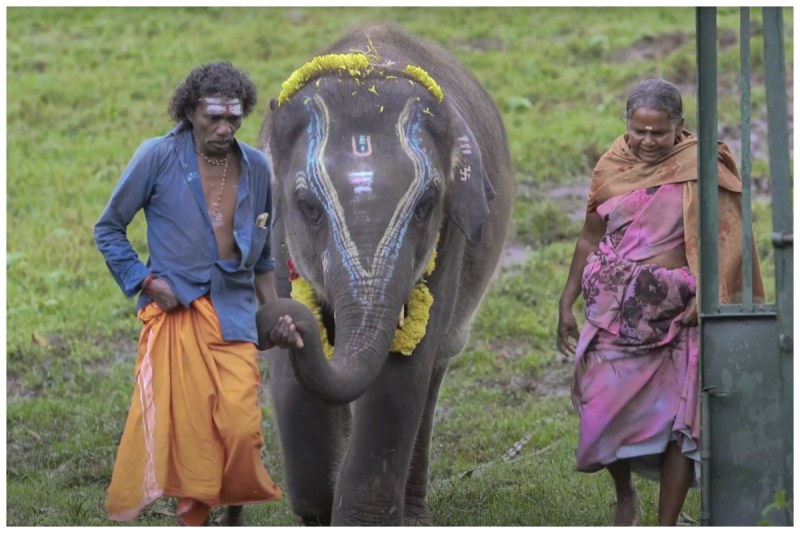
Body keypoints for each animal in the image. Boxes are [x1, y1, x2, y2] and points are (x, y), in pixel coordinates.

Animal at [255, 23, 513, 526]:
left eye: (427, 203)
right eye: (308, 206)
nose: (286, 322)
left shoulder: (448, 240)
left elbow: (402, 376)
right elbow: (295, 386)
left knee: (432, 371)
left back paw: (412, 515)